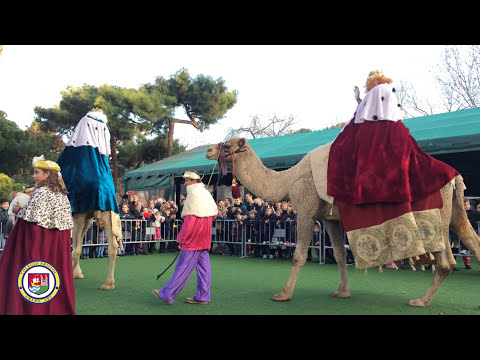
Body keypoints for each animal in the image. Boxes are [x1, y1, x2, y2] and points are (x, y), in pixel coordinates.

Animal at [204, 138, 480, 306]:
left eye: (226, 145)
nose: (208, 150)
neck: (288, 180)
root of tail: (454, 176)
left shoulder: (306, 210)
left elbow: (299, 255)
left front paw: (283, 294)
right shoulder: (330, 218)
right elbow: (337, 253)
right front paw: (342, 291)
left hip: (434, 213)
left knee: (446, 260)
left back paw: (420, 300)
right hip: (454, 211)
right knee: (471, 239)